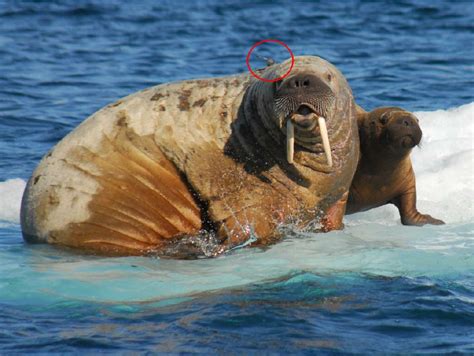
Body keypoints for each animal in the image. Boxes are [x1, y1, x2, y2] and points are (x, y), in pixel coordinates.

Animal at [19, 55, 360, 258]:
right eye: (277, 81)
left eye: (327, 77)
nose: (299, 80)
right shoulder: (243, 197)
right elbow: (250, 225)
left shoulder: (338, 194)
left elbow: (333, 220)